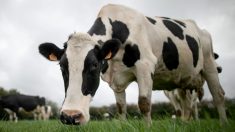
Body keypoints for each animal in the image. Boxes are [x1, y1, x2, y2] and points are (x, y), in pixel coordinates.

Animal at [38, 3, 228, 125]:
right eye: (62, 66)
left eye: (94, 65)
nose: (71, 116)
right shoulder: (116, 79)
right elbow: (121, 107)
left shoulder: (145, 66)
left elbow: (144, 103)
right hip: (183, 82)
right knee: (186, 104)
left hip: (209, 63)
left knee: (218, 95)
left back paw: (223, 123)